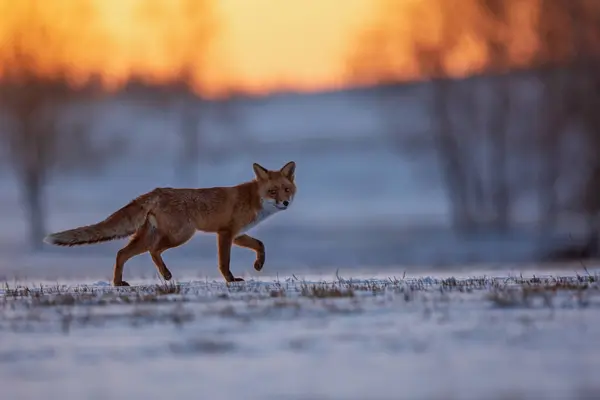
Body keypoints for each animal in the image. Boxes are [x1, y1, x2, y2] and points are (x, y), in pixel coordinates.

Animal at [43, 161, 296, 286]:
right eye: (272, 191)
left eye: (286, 189)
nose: (285, 202)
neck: (253, 199)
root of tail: (156, 191)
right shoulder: (225, 233)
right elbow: (224, 262)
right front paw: (231, 280)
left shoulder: (237, 234)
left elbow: (260, 245)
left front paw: (259, 265)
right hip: (181, 235)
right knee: (153, 251)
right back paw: (164, 274)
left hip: (151, 236)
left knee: (121, 253)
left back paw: (118, 283)